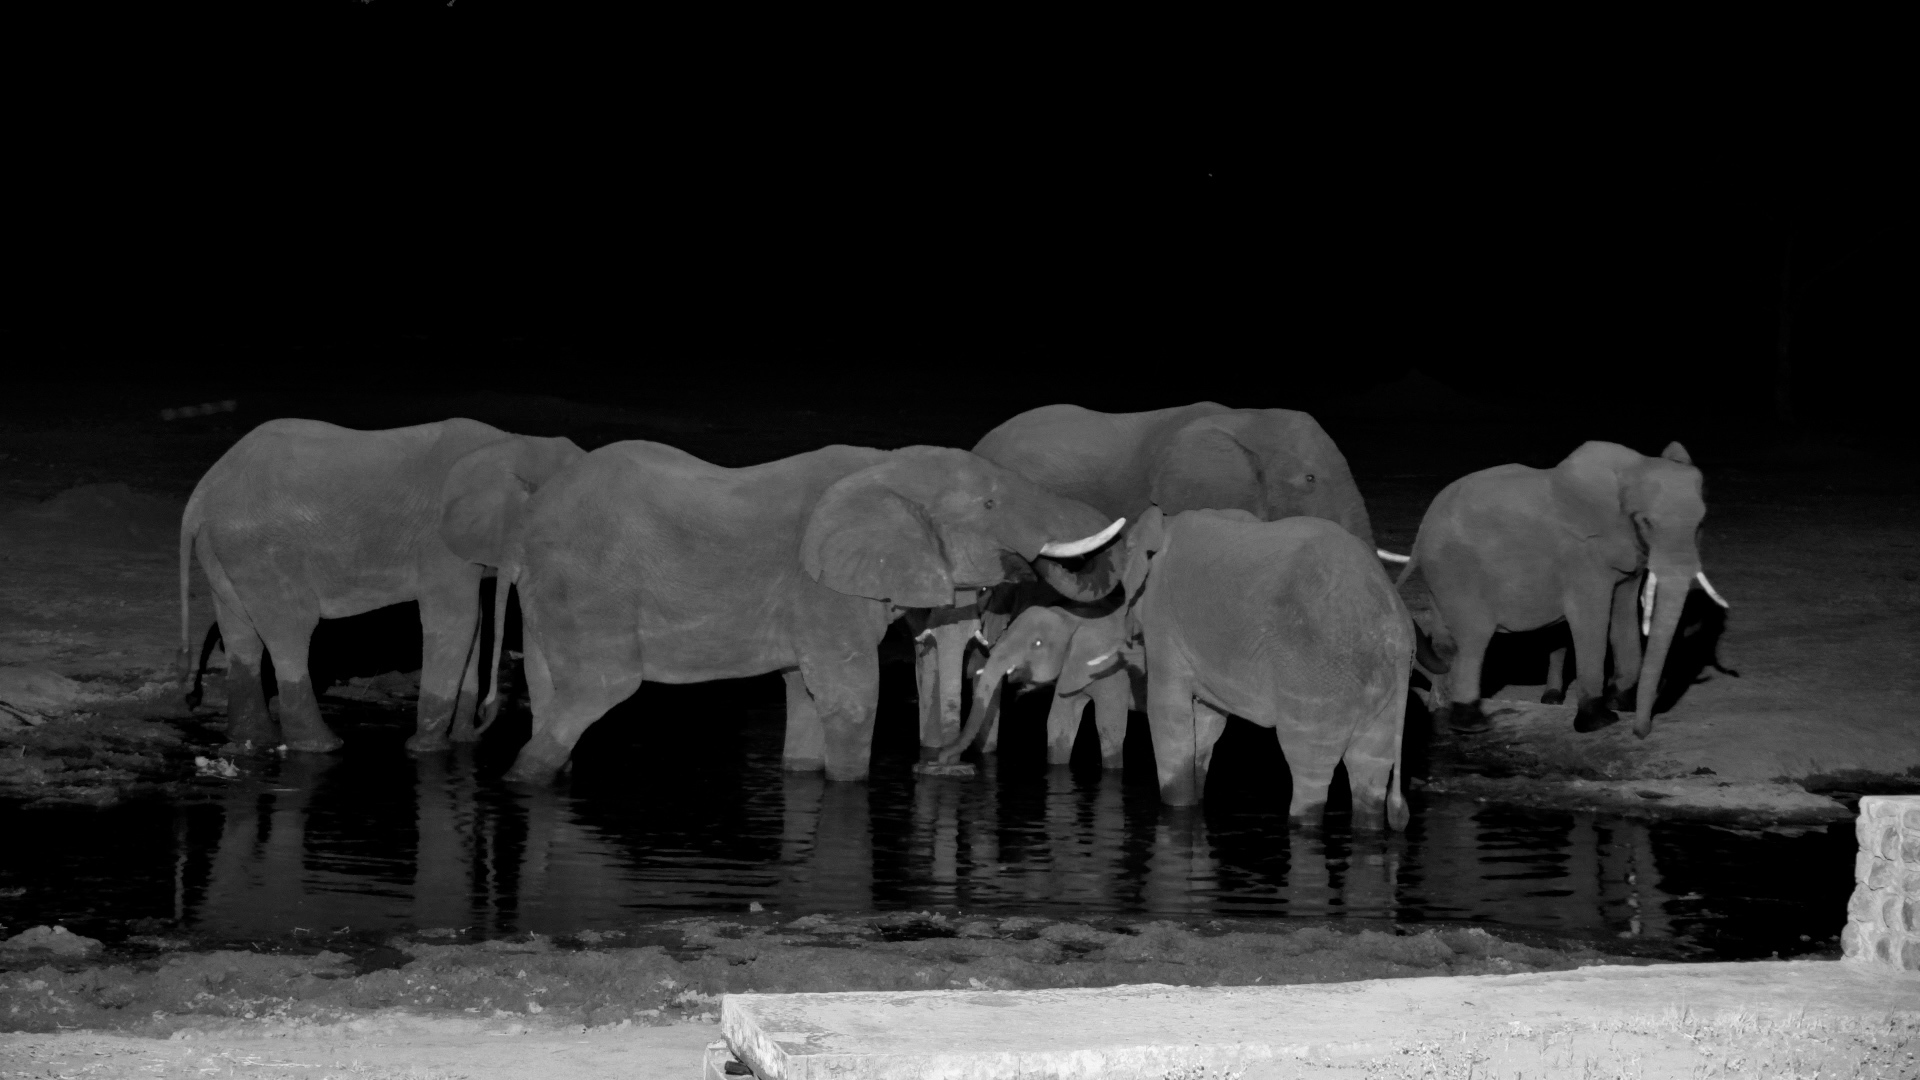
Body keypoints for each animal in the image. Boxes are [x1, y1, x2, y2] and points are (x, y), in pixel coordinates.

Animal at [178, 418, 584, 754]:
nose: (487, 719)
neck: (515, 443)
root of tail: (202, 493)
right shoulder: (438, 545)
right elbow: (456, 620)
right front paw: (426, 749)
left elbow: (475, 624)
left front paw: (463, 743)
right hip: (260, 549)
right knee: (291, 631)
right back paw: (322, 746)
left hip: (226, 551)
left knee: (241, 635)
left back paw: (252, 738)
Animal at [498, 441, 1125, 784]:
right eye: (990, 504)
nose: (938, 768)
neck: (887, 467)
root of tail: (526, 520)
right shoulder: (821, 588)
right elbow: (853, 695)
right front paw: (849, 784)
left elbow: (802, 692)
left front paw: (804, 771)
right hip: (587, 583)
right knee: (601, 688)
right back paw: (523, 776)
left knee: (549, 687)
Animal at [941, 507, 1414, 828]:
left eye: (1038, 644)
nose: (947, 764)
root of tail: (1394, 622)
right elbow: (1203, 722)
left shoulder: (1161, 623)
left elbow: (1163, 714)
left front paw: (1176, 810)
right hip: (1382, 690)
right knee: (1370, 769)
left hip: (1315, 675)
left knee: (1309, 765)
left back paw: (1303, 823)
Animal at [1397, 440, 1729, 739]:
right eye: (1646, 522)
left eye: (1701, 523)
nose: (1641, 733)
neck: (1630, 469)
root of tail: (1422, 533)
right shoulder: (1582, 555)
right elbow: (1592, 618)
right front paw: (1599, 721)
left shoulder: (1626, 553)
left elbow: (1623, 616)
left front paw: (1620, 703)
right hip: (1456, 569)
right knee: (1474, 638)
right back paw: (1471, 724)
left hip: (1441, 577)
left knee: (1446, 643)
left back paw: (1441, 716)